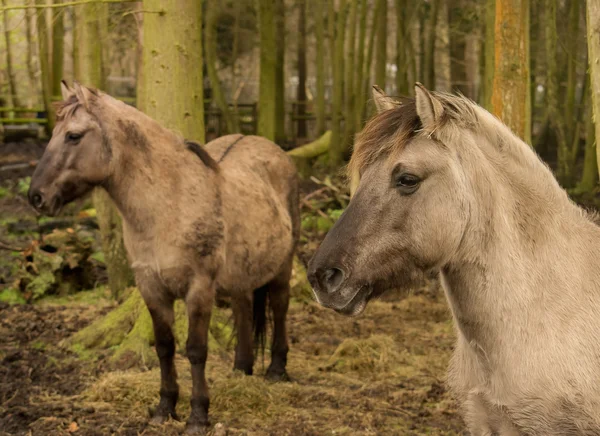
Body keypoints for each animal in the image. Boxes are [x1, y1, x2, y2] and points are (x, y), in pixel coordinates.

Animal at [28, 82, 300, 432]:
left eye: (73, 136)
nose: (36, 196)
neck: (168, 204)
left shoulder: (199, 289)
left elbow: (196, 350)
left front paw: (198, 415)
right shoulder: (151, 287)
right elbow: (165, 347)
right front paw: (165, 407)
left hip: (282, 265)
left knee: (279, 307)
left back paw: (277, 369)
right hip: (241, 273)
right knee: (243, 309)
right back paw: (241, 368)